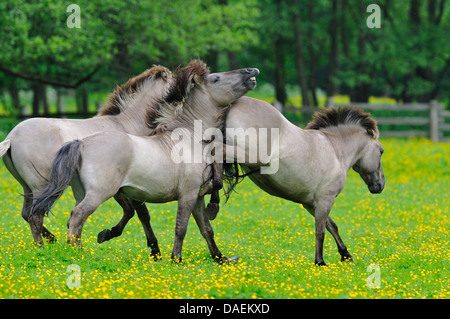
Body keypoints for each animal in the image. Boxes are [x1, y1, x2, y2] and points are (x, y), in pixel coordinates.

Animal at [30, 60, 260, 264]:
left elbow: (207, 230)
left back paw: (79, 250)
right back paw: (77, 254)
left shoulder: (197, 197)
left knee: (74, 220)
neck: (190, 139)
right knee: (77, 216)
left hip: (81, 193)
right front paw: (176, 260)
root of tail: (82, 143)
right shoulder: (187, 195)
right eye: (216, 78)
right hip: (99, 194)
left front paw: (220, 259)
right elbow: (181, 227)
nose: (252, 70)